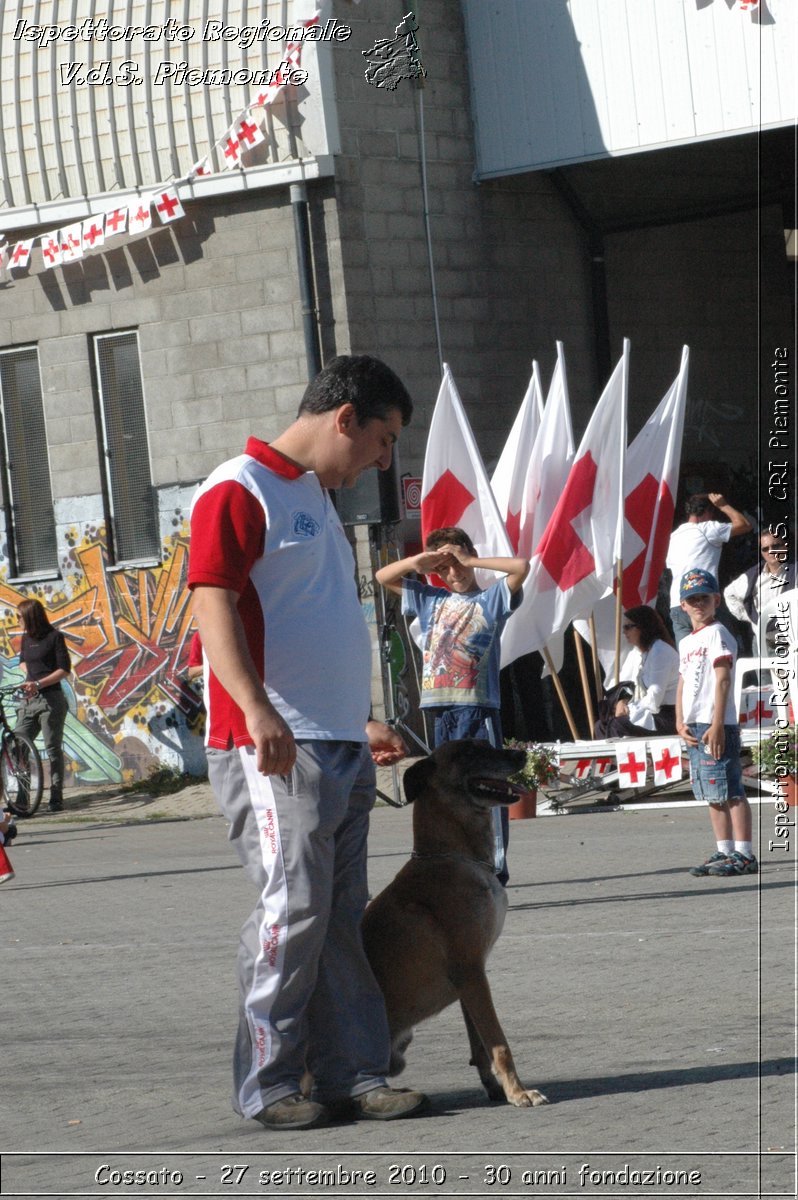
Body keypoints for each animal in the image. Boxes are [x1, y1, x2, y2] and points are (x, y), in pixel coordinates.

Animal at [360, 734, 547, 1108]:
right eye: (468, 751)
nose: (520, 754)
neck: (454, 856)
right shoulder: (472, 971)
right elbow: (499, 1042)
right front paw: (518, 1091)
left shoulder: (471, 979)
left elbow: (480, 1043)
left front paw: (495, 1088)